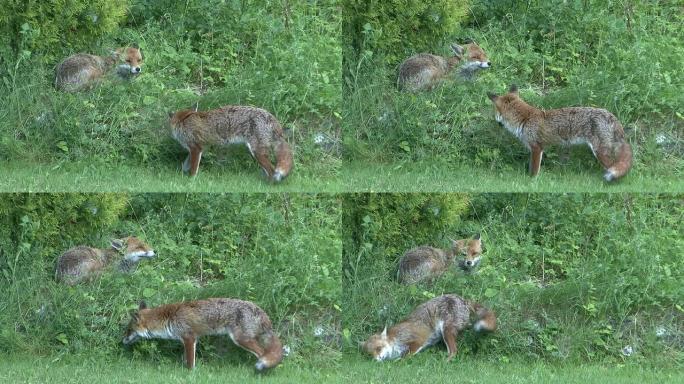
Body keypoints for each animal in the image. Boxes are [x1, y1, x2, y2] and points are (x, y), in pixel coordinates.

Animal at [122, 296, 284, 372]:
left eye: (128, 330)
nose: (121, 341)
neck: (169, 318)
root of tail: (260, 311)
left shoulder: (189, 338)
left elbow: (190, 363)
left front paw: (190, 374)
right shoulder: (190, 340)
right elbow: (185, 359)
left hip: (241, 339)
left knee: (263, 353)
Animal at [364, 296, 496, 362]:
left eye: (379, 348)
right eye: (370, 354)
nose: (376, 359)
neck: (394, 340)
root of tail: (463, 300)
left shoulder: (417, 340)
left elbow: (404, 357)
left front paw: (398, 362)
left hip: (446, 330)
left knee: (453, 351)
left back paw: (443, 362)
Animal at [486, 85, 632, 181]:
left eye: (495, 112)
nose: (494, 120)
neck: (525, 119)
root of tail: (611, 115)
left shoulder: (537, 148)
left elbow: (534, 170)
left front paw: (531, 181)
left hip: (600, 152)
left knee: (614, 167)